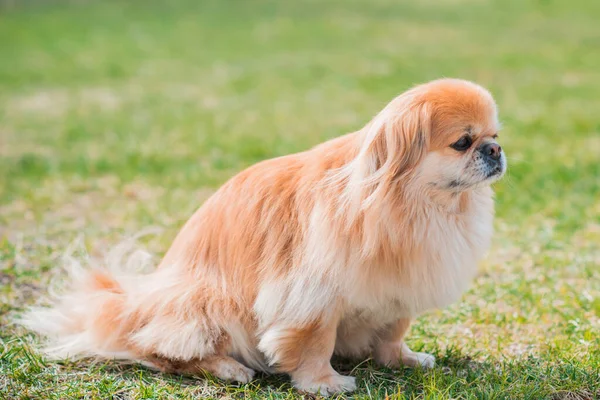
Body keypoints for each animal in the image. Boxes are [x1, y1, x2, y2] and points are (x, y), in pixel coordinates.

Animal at [25, 77, 508, 394]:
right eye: (462, 142)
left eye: (494, 135)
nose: (495, 150)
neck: (416, 206)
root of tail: (129, 304)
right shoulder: (313, 295)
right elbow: (314, 342)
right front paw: (324, 382)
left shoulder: (401, 283)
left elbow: (392, 330)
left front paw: (403, 359)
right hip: (206, 303)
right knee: (159, 351)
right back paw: (228, 369)